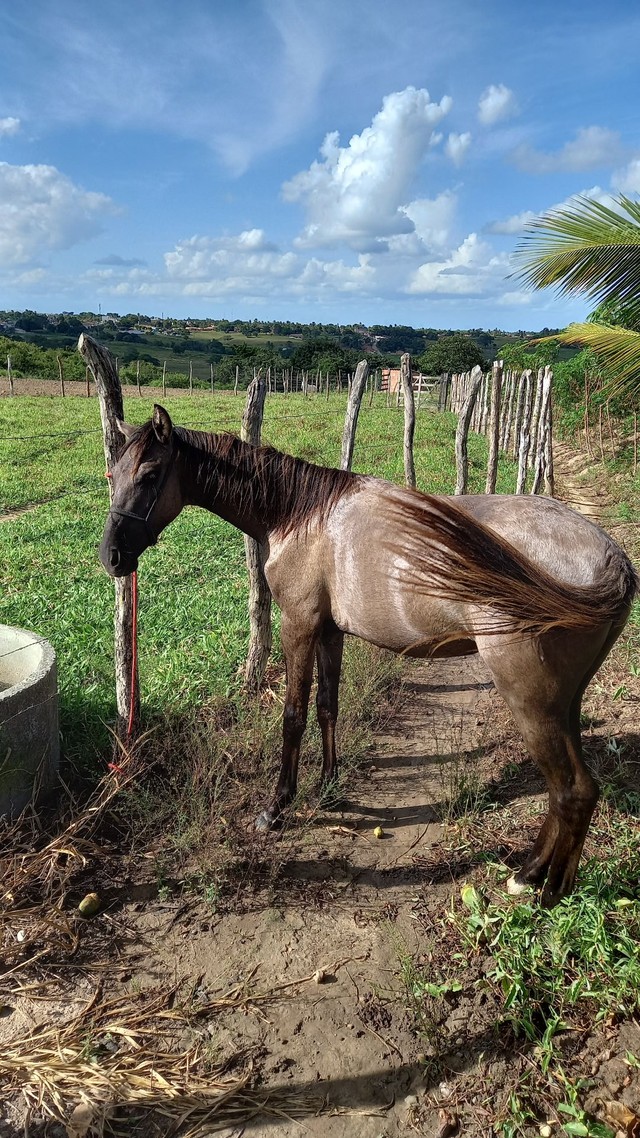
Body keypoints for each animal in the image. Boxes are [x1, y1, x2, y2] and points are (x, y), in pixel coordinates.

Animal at [98, 407, 633, 905]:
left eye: (149, 475)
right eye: (112, 474)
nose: (112, 557)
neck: (300, 514)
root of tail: (612, 558)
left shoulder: (299, 626)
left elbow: (293, 715)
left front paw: (278, 806)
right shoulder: (330, 633)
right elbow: (326, 707)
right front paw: (328, 786)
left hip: (530, 700)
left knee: (571, 790)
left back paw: (546, 888)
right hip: (564, 701)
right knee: (570, 790)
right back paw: (532, 873)